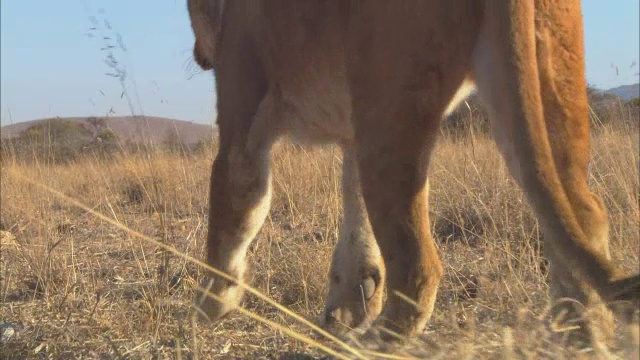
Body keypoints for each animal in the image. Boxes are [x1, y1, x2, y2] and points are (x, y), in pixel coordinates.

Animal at [188, 0, 636, 344]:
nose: (198, 54)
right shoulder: (354, 132)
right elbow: (355, 218)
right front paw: (350, 303)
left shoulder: (243, 115)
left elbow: (234, 208)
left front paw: (210, 304)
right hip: (541, 85)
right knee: (583, 216)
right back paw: (580, 333)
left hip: (390, 110)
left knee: (418, 263)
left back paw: (372, 343)